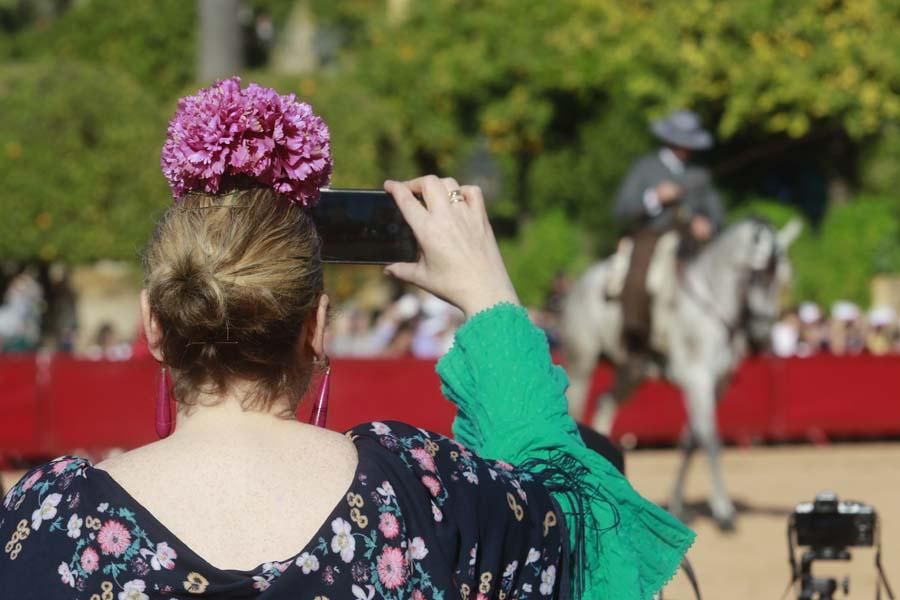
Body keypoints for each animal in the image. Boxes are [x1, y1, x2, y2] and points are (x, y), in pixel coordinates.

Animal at [564, 218, 800, 528]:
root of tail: (577, 283)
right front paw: (724, 511)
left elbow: (691, 440)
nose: (761, 335)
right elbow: (710, 439)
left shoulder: (716, 384)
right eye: (758, 274)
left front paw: (678, 505)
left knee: (604, 403)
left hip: (631, 372)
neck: (712, 300)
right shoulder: (698, 379)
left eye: (784, 278)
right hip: (582, 363)